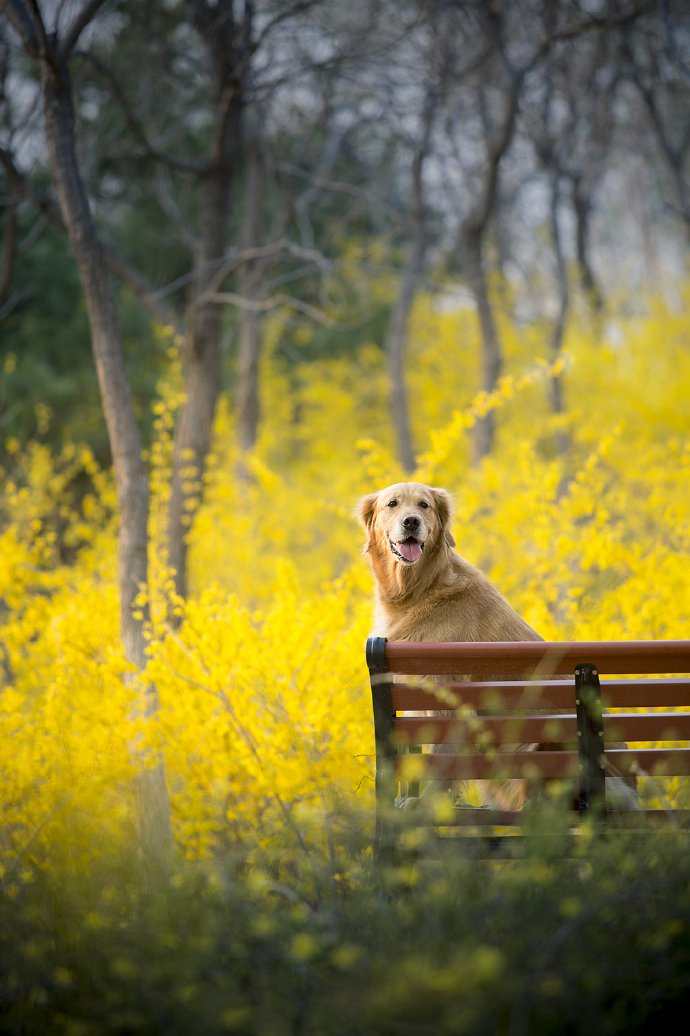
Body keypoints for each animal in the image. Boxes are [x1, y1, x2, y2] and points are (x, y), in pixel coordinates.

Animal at [356, 480, 638, 812]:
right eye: (393, 504)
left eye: (424, 505)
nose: (411, 521)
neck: (421, 588)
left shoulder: (446, 695)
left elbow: (441, 759)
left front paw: (427, 804)